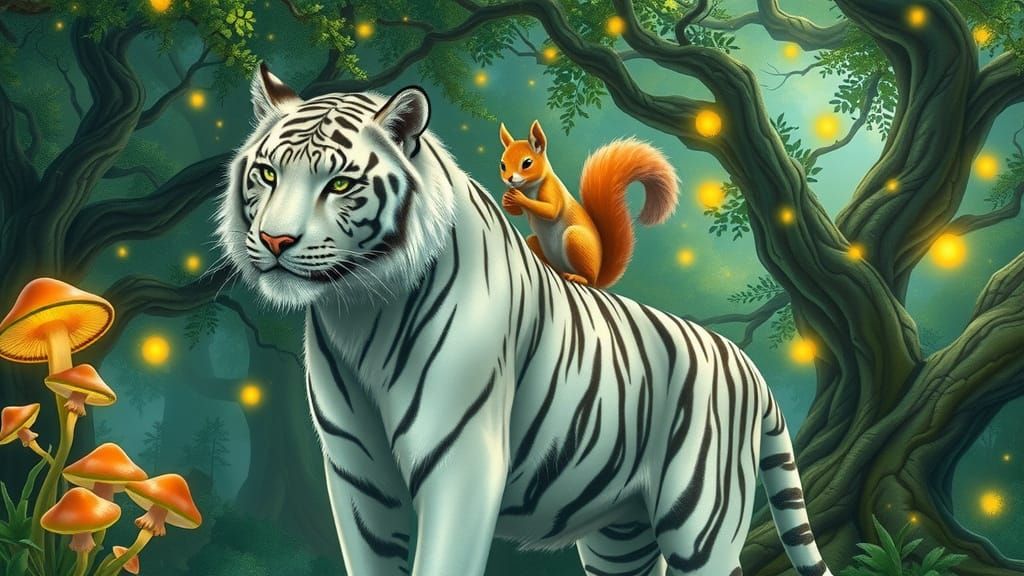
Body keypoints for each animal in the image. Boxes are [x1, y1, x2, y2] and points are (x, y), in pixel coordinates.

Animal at [216, 63, 834, 576]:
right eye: (267, 174)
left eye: (340, 183)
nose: (274, 240)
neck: (359, 310)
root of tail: (750, 370)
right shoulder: (357, 476)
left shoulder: (462, 464)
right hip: (621, 538)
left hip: (699, 524)